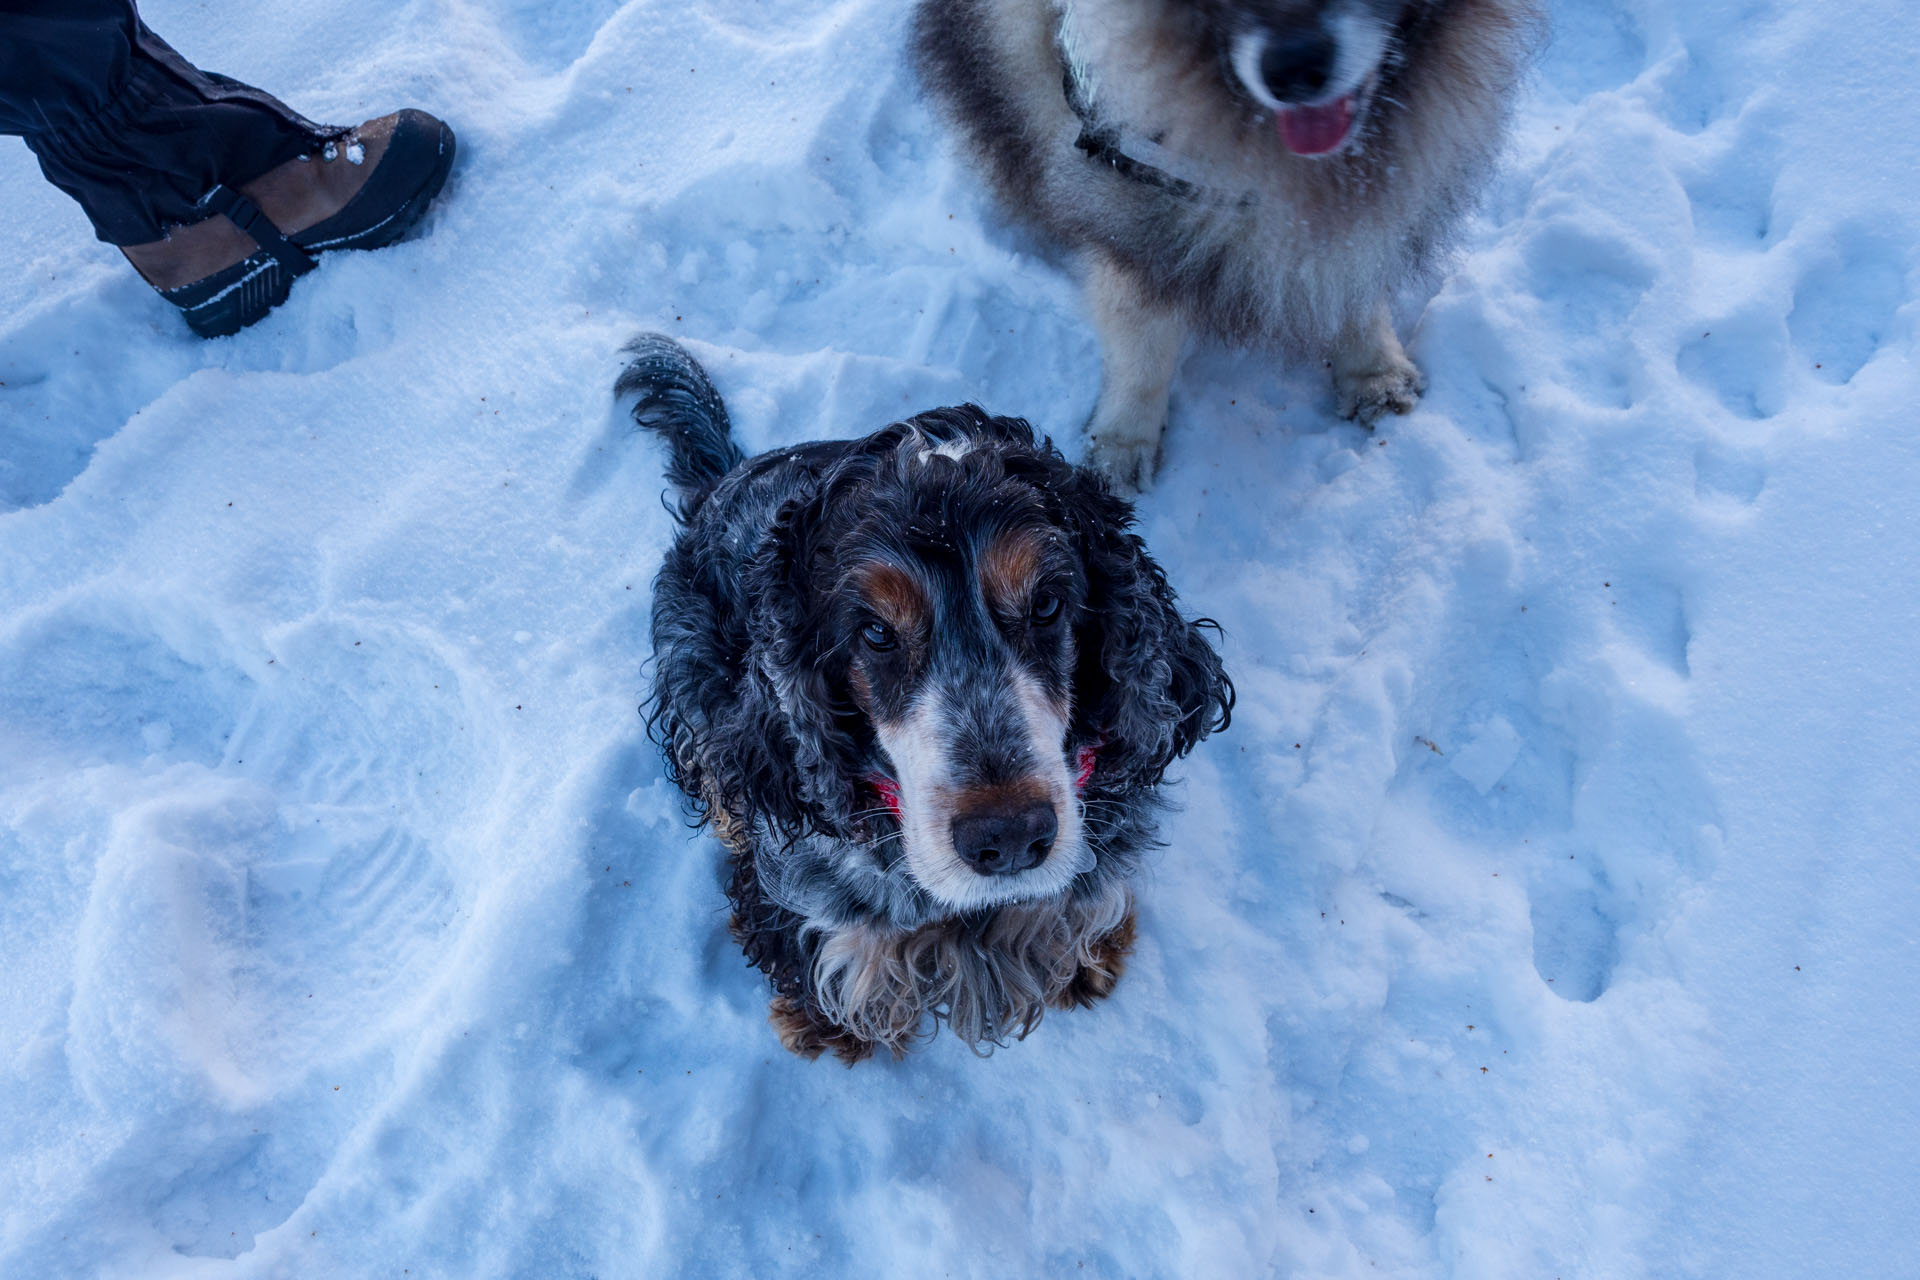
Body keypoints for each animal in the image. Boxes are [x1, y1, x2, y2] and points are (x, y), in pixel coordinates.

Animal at [913, 0, 1543, 491]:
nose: (1293, 69)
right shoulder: (1134, 202)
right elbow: (1140, 339)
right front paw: (1123, 441)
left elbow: (1353, 272)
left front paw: (1374, 373)